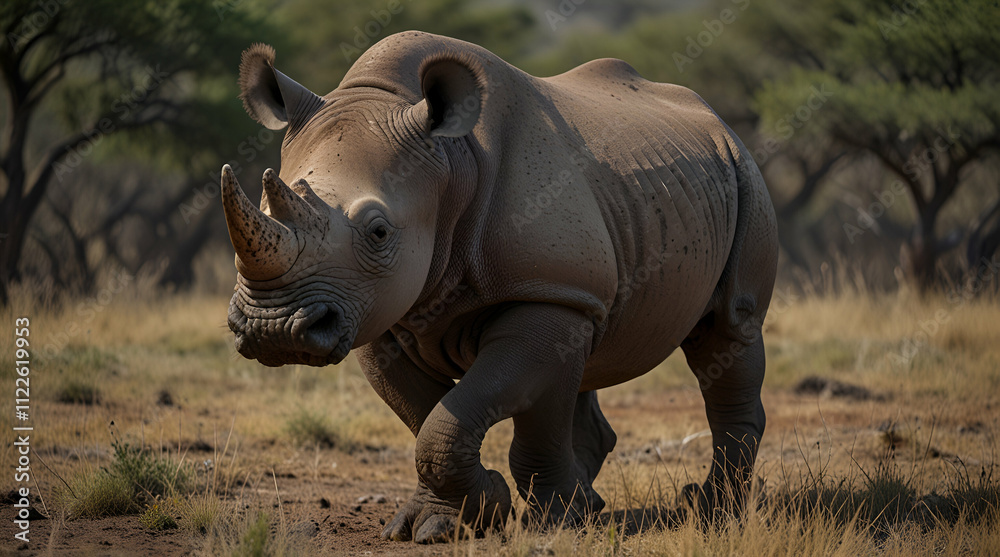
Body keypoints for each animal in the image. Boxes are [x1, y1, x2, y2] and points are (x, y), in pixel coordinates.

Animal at [222, 31, 777, 543]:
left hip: (742, 174)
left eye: (379, 232)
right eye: (263, 209)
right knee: (583, 363)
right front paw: (446, 522)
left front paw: (547, 520)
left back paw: (710, 511)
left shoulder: (544, 292)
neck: (449, 164)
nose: (273, 329)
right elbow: (426, 416)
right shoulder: (377, 310)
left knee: (730, 329)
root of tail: (716, 119)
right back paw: (596, 502)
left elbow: (475, 418)